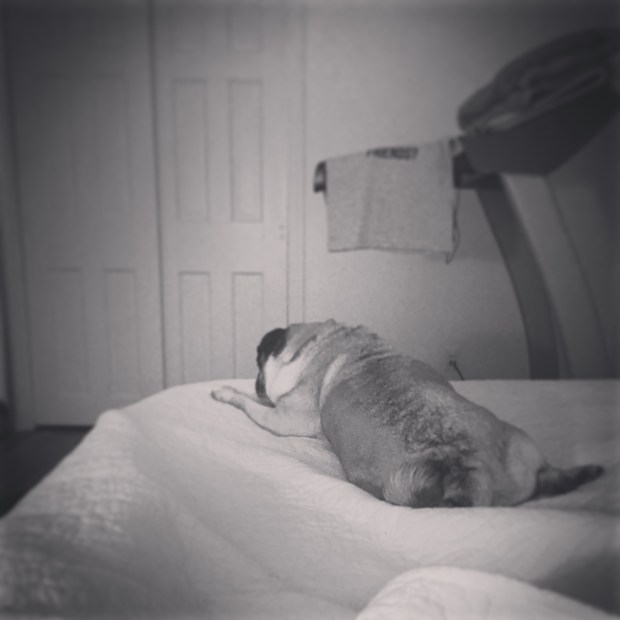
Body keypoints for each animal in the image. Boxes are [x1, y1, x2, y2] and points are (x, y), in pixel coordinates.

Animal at [212, 320, 603, 508]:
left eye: (259, 364)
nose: (258, 381)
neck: (319, 342)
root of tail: (472, 464)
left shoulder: (288, 416)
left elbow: (249, 403)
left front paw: (227, 391)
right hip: (524, 444)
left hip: (397, 487)